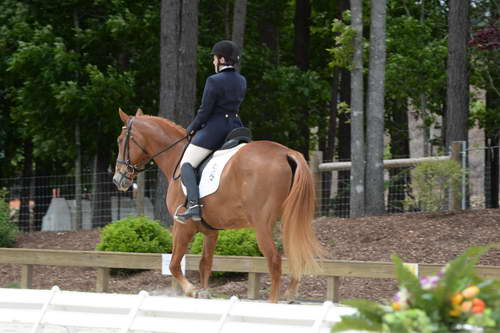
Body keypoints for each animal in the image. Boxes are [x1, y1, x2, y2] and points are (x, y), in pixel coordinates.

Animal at [113, 108, 324, 300]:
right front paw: (204, 292)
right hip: (288, 221)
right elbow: (205, 264)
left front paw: (192, 290)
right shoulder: (210, 231)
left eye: (121, 140)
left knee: (274, 261)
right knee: (295, 253)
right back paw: (291, 293)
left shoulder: (182, 227)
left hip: (262, 224)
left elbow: (174, 264)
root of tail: (287, 153)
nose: (118, 179)